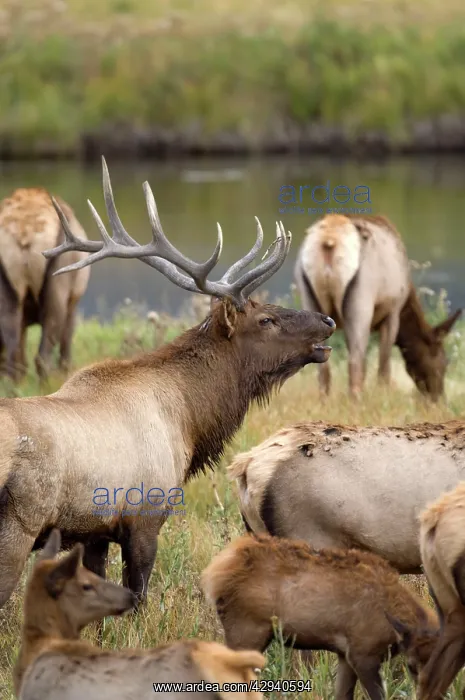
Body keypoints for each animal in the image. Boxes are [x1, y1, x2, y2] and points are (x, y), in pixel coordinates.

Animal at [0, 187, 90, 380]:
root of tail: (25, 235)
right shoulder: (73, 303)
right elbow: (66, 356)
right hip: (58, 287)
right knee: (43, 358)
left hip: (8, 292)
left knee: (14, 361)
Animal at [201, 534, 439, 700]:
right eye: (411, 665)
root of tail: (216, 572)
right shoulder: (363, 652)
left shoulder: (345, 654)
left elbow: (342, 694)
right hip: (247, 629)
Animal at [294, 213, 461, 399]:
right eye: (444, 361)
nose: (438, 397)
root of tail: (329, 241)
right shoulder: (393, 312)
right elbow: (384, 365)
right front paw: (384, 397)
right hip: (361, 302)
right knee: (355, 362)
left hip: (309, 297)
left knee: (323, 367)